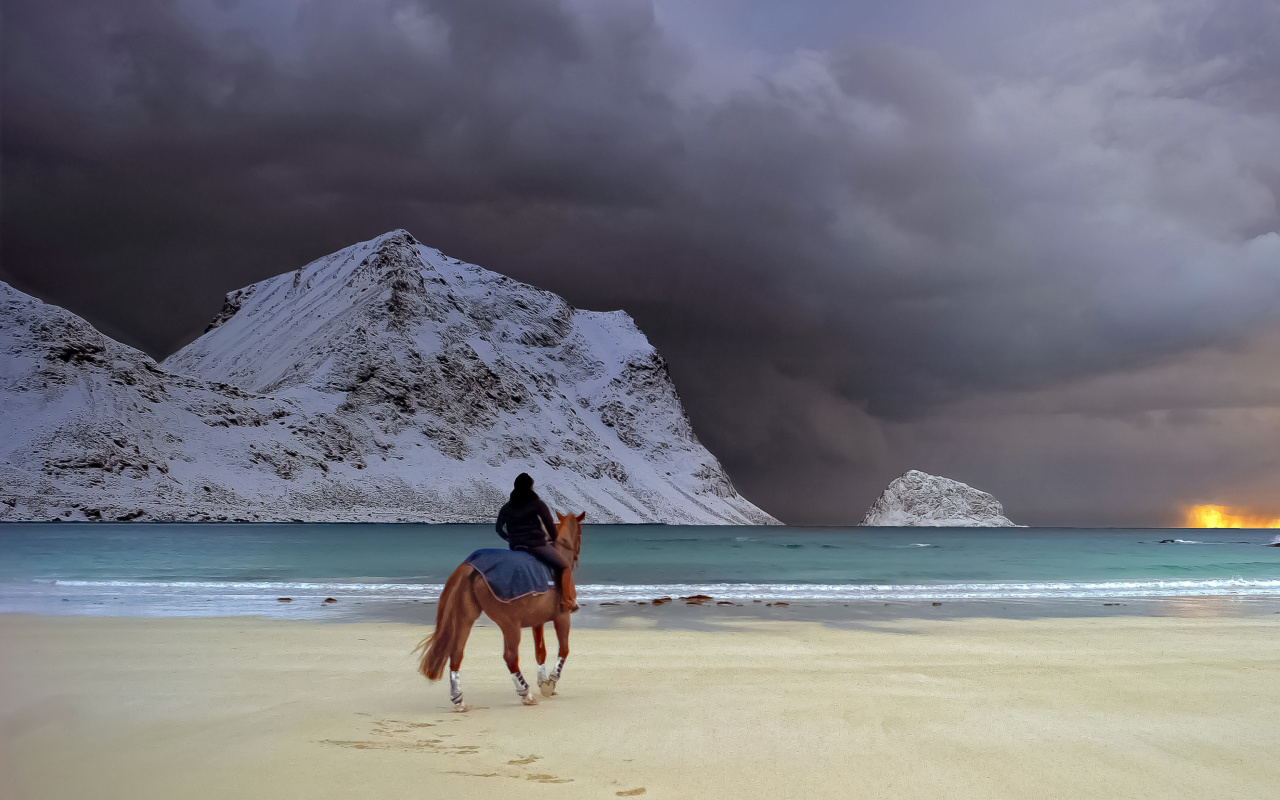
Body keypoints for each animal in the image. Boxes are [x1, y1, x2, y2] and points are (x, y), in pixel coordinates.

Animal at [414, 509, 586, 706]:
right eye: (580, 533)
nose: (576, 557)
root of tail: (472, 566)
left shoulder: (538, 621)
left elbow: (540, 652)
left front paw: (542, 682)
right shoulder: (562, 617)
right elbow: (564, 650)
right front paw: (551, 681)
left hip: (465, 618)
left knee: (456, 652)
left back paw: (458, 699)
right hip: (510, 625)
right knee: (510, 657)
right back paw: (525, 693)